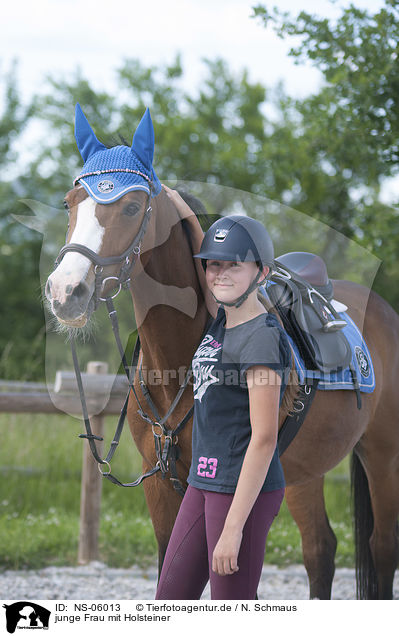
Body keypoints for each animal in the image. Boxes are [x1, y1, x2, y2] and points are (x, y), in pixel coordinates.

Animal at [44, 114, 399, 600]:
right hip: (304, 471)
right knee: (320, 549)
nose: (66, 291)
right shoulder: (161, 488)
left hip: (382, 455)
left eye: (132, 208)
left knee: (382, 549)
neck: (179, 366)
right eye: (69, 204)